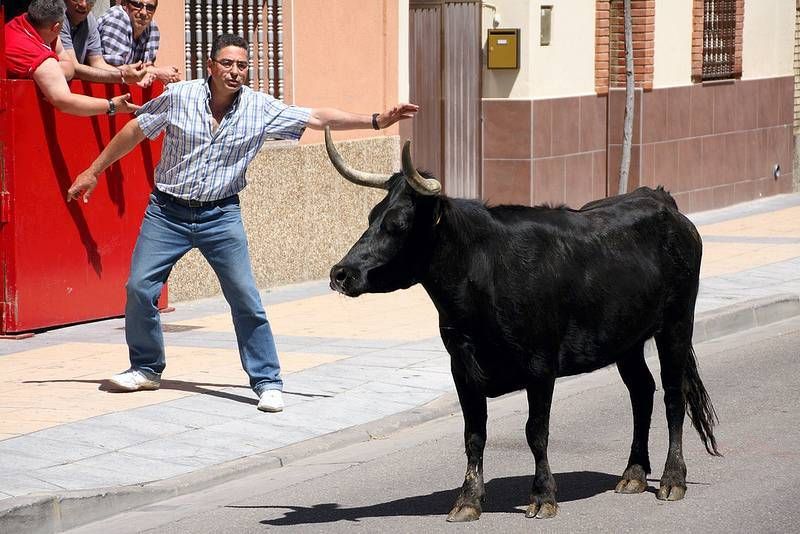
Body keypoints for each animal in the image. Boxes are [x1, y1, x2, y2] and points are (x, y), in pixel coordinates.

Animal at [322, 126, 720, 524]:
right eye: (371, 216)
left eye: (397, 224)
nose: (340, 273)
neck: (481, 275)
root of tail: (661, 200)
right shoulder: (462, 369)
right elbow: (474, 434)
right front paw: (468, 500)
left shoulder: (540, 367)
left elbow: (536, 432)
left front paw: (543, 496)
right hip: (627, 340)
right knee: (641, 391)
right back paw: (633, 474)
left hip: (677, 324)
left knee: (673, 395)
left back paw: (672, 479)